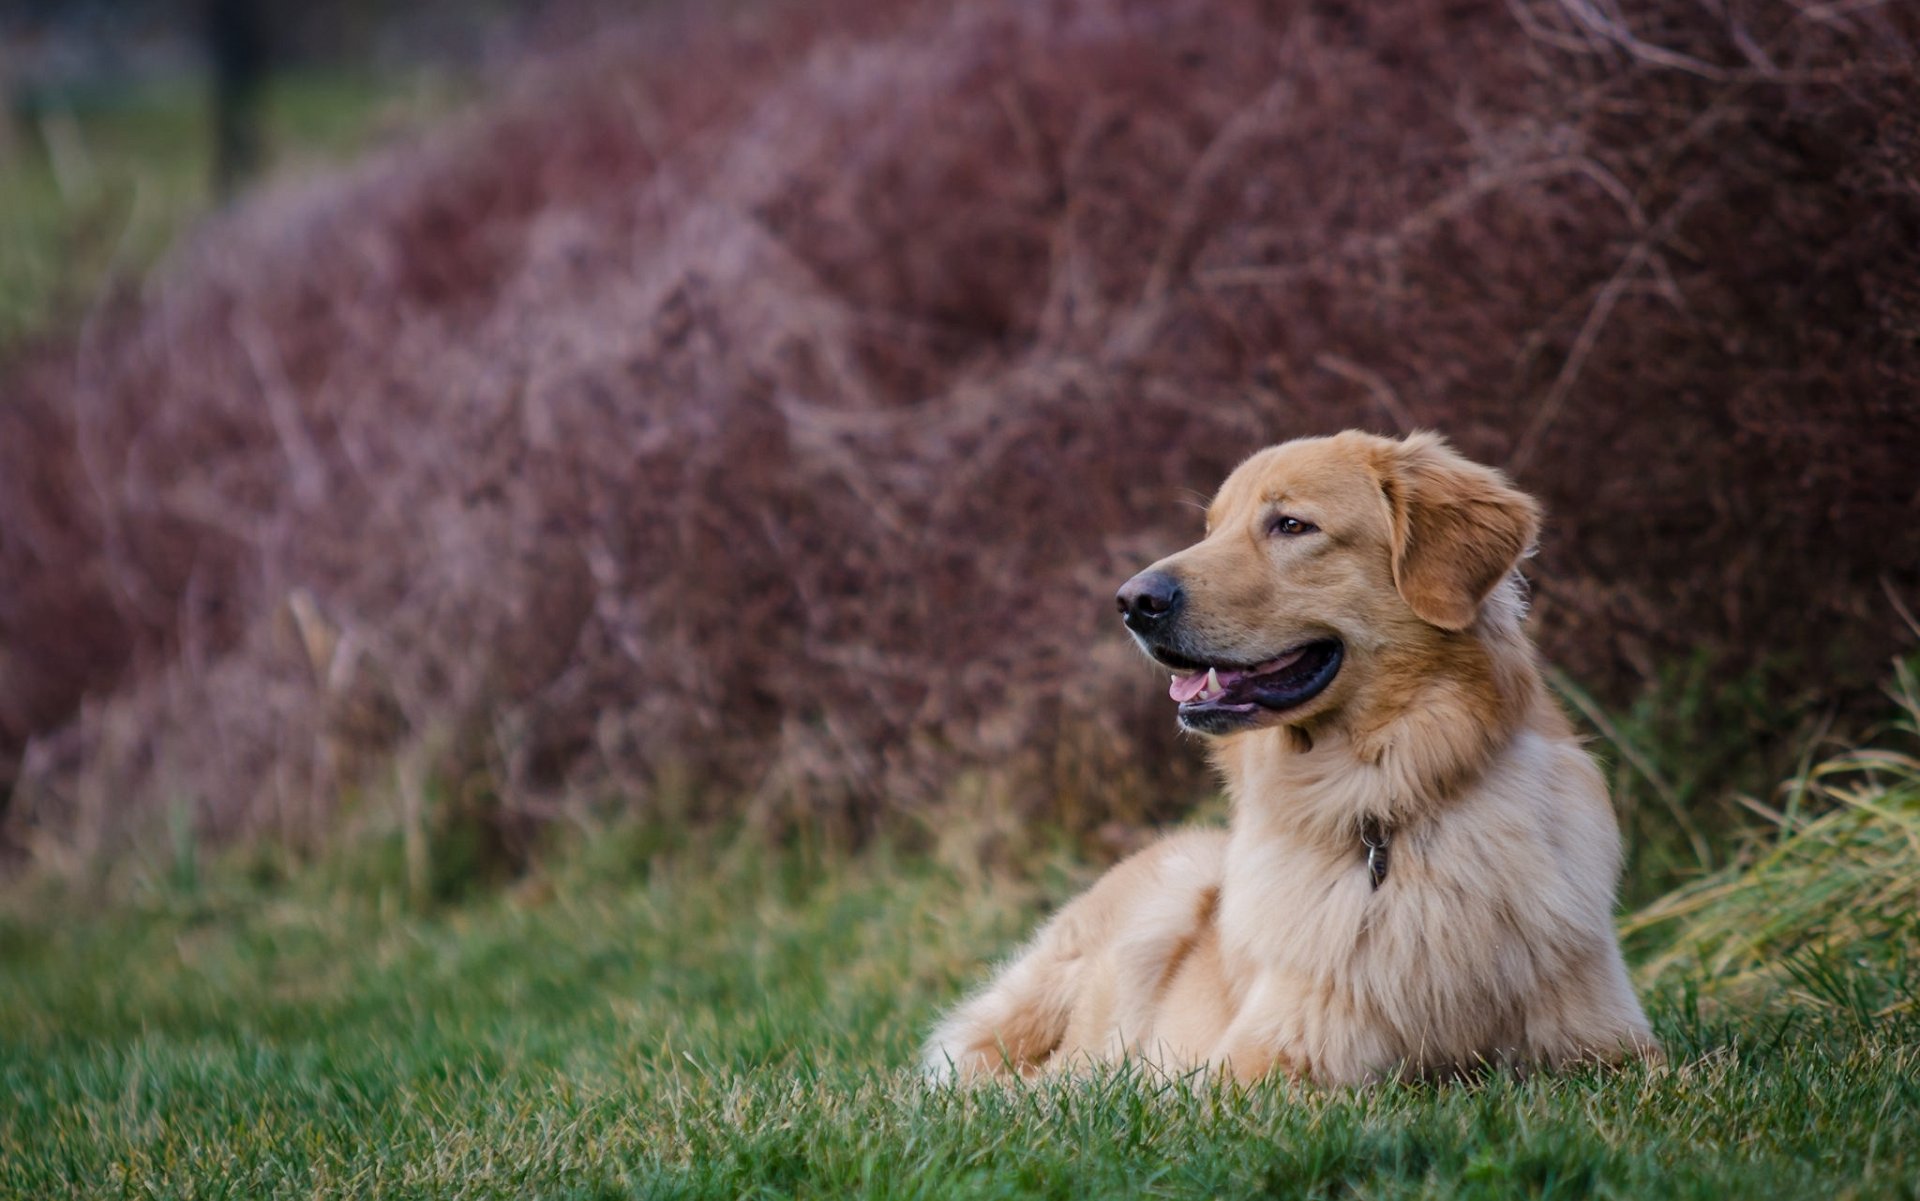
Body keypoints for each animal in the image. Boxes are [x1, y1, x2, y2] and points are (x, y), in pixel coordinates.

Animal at [921, 425, 1658, 1082]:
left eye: (1292, 525)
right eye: (1211, 527)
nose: (1132, 601)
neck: (1382, 803)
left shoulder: (1616, 1047)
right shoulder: (1261, 1060)